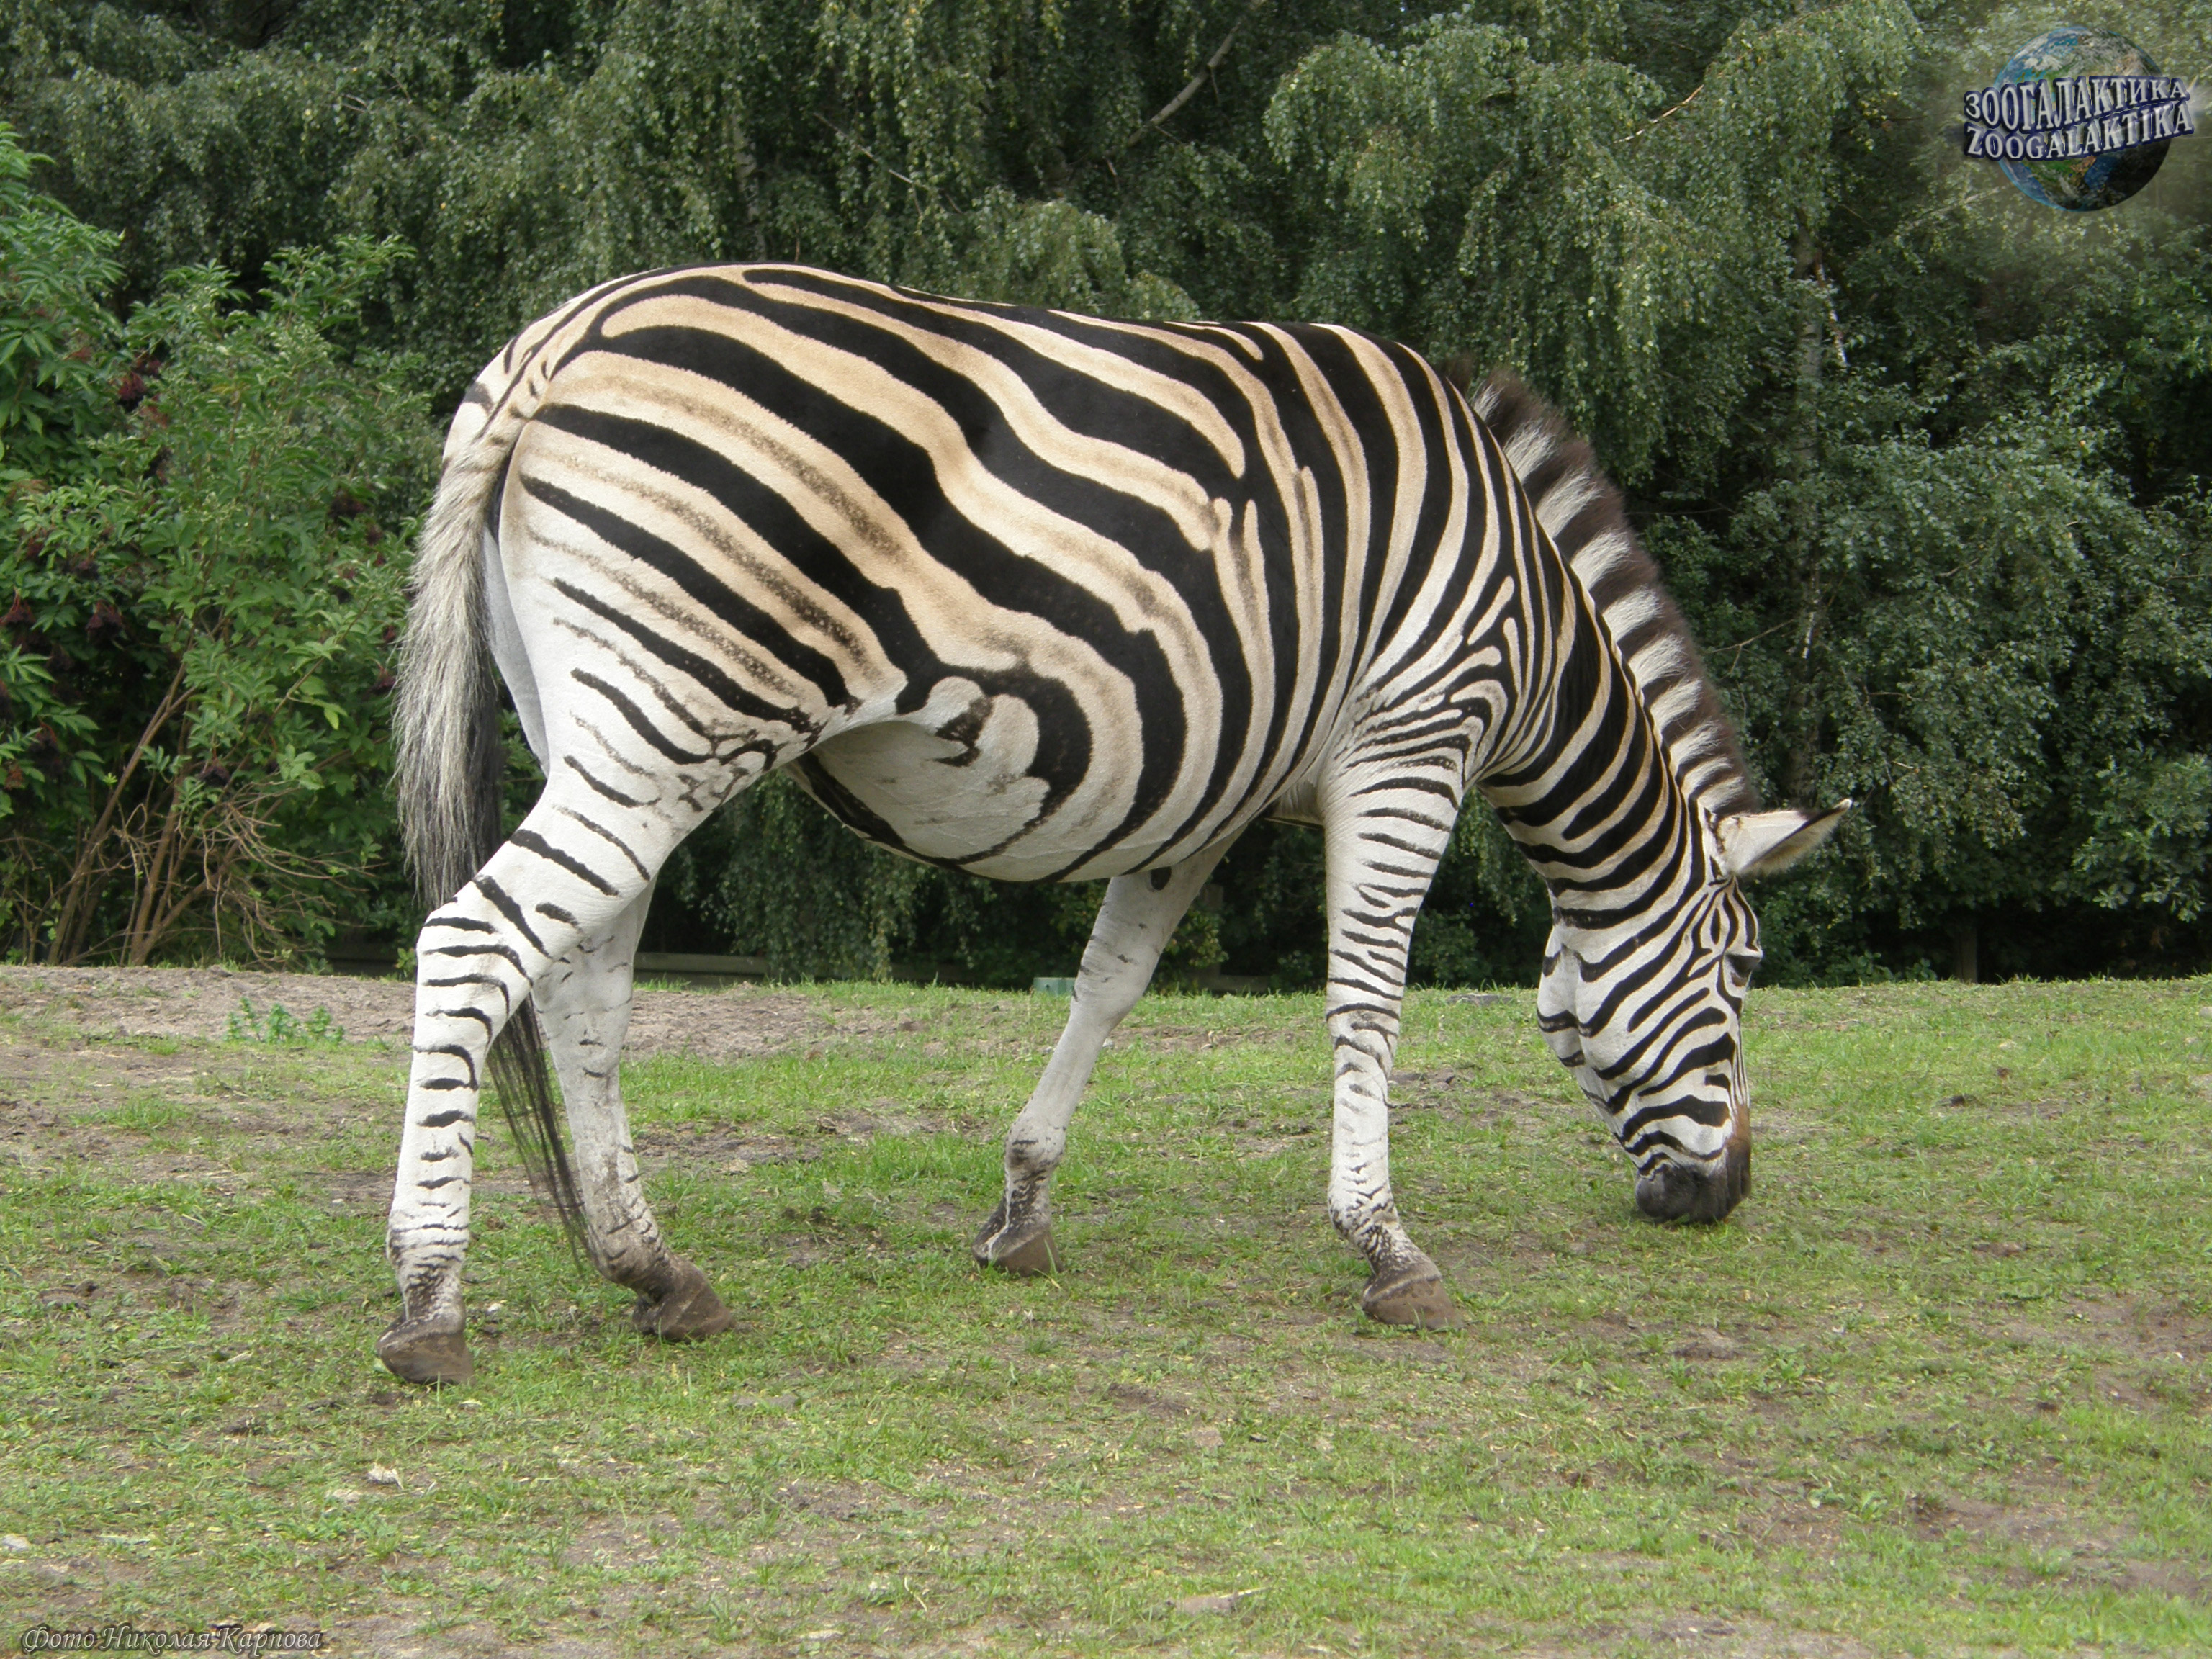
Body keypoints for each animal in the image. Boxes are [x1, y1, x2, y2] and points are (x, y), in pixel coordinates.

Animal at [379, 263, 1845, 1386]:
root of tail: (565, 333)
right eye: (1742, 973)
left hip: (604, 728)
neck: (1533, 624)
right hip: (671, 718)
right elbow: (1367, 998)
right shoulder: (1410, 744)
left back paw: (654, 1269)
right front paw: (1384, 1244)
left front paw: (1021, 1208)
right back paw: (430, 1303)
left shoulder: (1208, 791)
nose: (1723, 1198)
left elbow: (1110, 983)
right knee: (473, 942)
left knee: (582, 986)